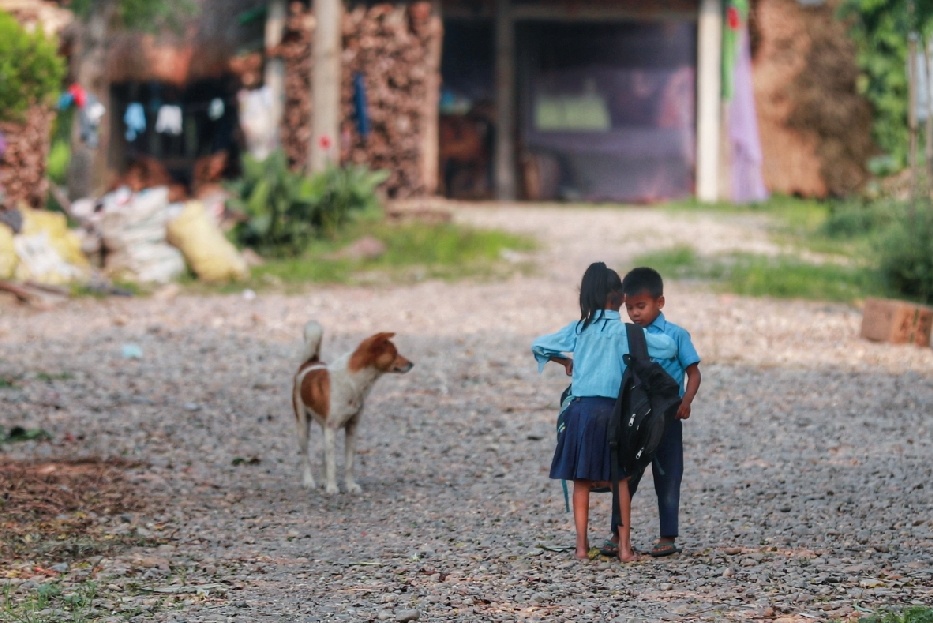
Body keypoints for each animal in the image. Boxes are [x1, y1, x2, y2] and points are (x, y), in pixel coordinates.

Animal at [290, 324, 410, 494]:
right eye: (394, 353)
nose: (412, 363)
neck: (352, 381)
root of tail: (309, 364)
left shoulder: (351, 428)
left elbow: (349, 463)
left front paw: (350, 486)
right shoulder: (331, 428)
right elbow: (332, 464)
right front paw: (332, 488)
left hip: (324, 430)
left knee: (323, 455)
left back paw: (323, 481)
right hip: (303, 428)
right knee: (306, 457)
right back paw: (309, 482)